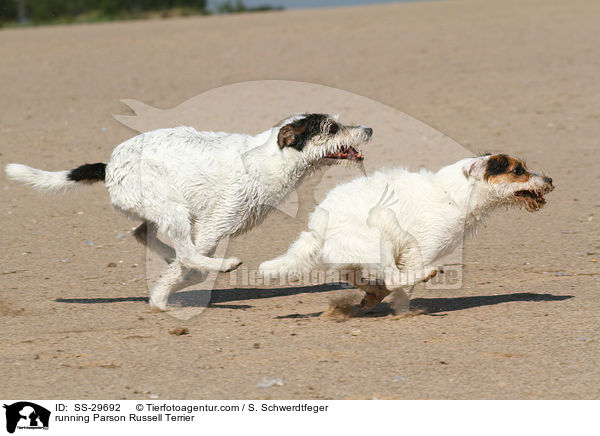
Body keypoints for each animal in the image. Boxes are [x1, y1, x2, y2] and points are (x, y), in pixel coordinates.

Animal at [260, 152, 556, 314]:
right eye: (518, 171)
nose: (550, 180)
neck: (454, 194)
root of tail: (318, 223)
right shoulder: (418, 249)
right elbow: (403, 284)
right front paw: (404, 309)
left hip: (351, 253)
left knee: (357, 277)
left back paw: (372, 294)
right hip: (379, 242)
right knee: (391, 278)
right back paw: (420, 277)